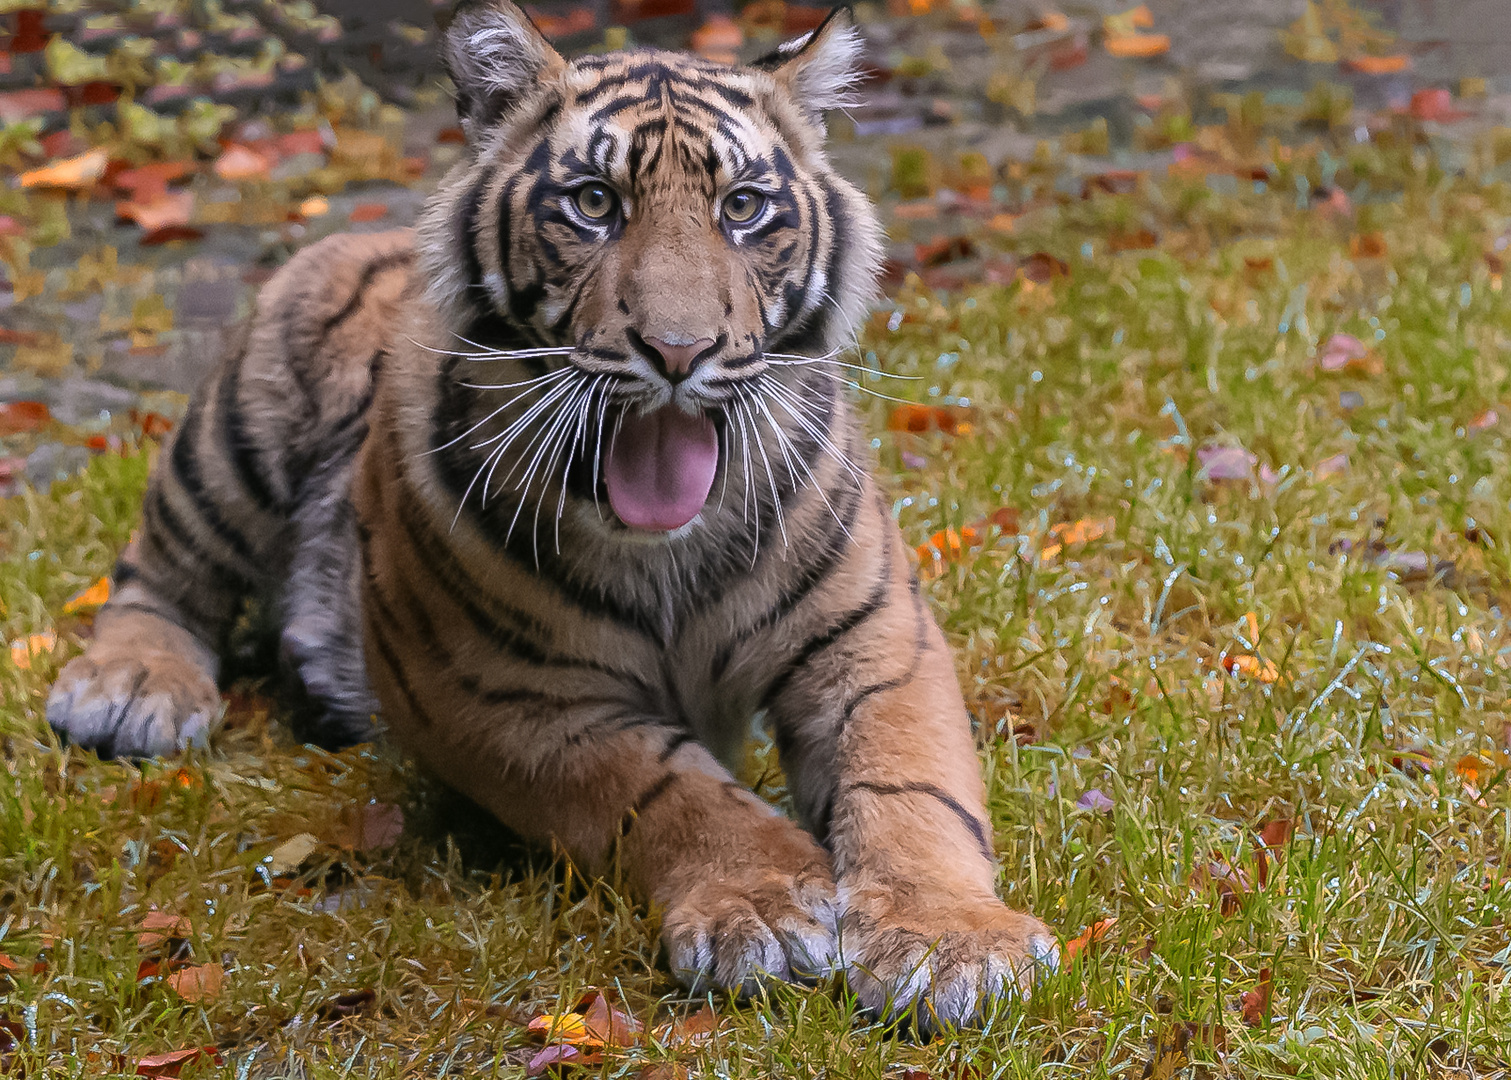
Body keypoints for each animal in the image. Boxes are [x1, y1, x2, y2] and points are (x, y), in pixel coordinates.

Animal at [47, 0, 1063, 1033]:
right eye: (593, 203)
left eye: (742, 208)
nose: (677, 351)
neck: (670, 545)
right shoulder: (510, 700)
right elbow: (670, 788)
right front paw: (761, 906)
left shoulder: (877, 641)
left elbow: (910, 784)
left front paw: (948, 943)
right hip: (240, 429)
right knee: (161, 568)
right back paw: (130, 691)